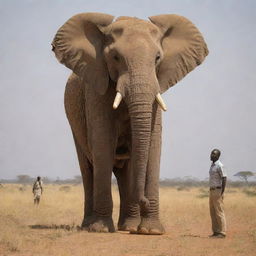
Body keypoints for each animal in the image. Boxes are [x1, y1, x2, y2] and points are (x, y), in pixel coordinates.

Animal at [51, 13, 208, 235]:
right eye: (115, 57)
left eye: (157, 58)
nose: (143, 200)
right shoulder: (97, 89)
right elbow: (103, 143)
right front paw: (101, 229)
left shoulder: (157, 88)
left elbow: (152, 145)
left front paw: (151, 231)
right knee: (88, 167)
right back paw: (89, 225)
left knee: (125, 171)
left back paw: (129, 225)